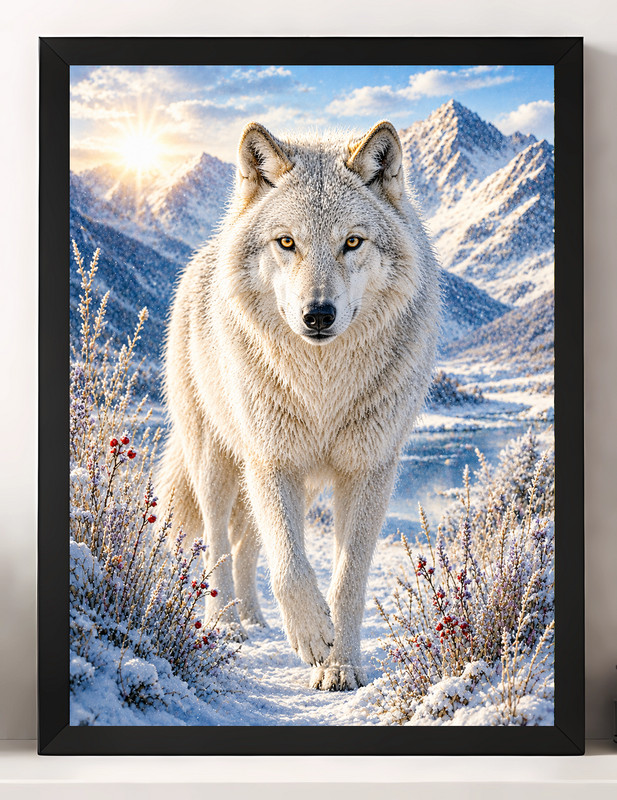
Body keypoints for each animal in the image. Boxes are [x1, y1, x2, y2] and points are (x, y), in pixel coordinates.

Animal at [158, 120, 441, 691]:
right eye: (287, 242)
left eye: (352, 242)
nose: (318, 314)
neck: (322, 386)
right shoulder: (272, 461)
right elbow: (289, 565)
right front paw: (312, 635)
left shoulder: (369, 470)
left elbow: (347, 578)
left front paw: (342, 665)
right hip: (219, 463)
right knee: (218, 541)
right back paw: (225, 624)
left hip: (300, 486)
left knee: (246, 543)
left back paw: (253, 619)